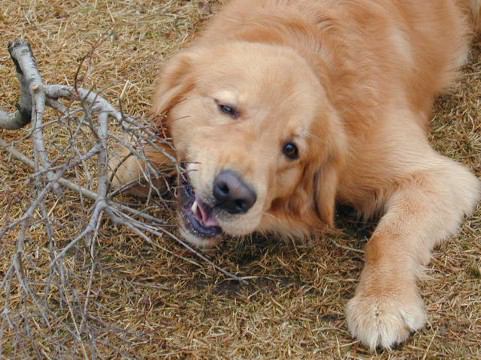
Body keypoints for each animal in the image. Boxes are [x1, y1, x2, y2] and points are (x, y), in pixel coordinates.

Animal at [113, 0, 480, 350]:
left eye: (291, 149)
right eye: (227, 108)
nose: (232, 194)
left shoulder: (438, 177)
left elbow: (388, 236)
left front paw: (382, 302)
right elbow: (131, 162)